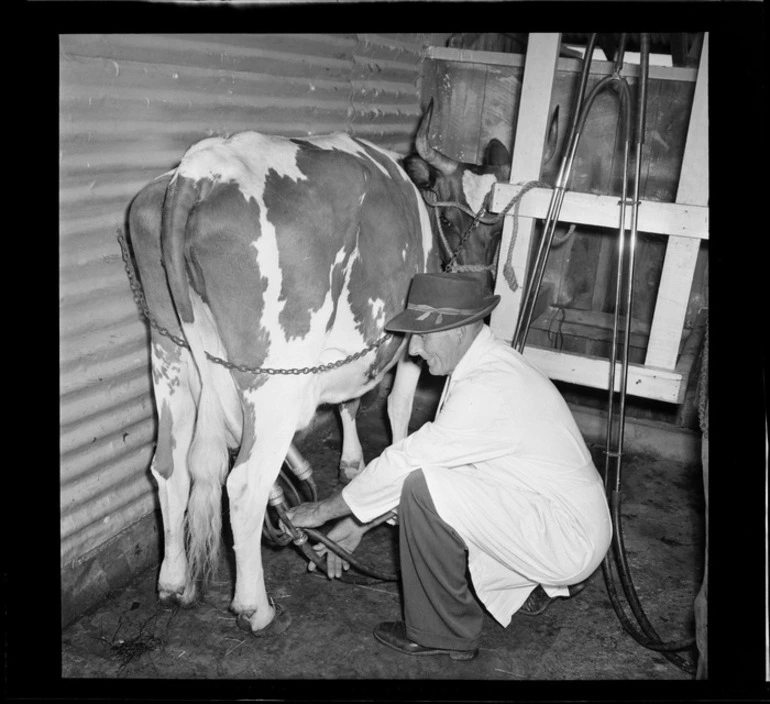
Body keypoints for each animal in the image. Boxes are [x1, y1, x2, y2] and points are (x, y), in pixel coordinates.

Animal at [127, 104, 516, 640]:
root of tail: (203, 167)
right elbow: (396, 407)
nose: (478, 292)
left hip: (170, 355)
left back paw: (172, 582)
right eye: (450, 217)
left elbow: (349, 402)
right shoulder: (408, 342)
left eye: (498, 226)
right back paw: (255, 607)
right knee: (243, 485)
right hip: (273, 376)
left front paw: (350, 464)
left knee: (170, 467)